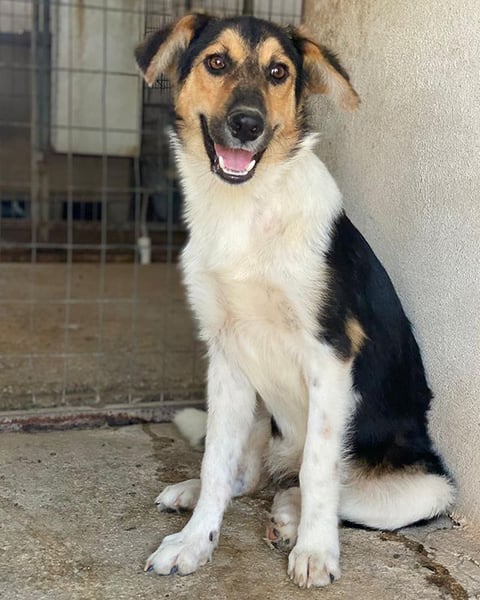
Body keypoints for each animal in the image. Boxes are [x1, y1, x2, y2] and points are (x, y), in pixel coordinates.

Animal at [135, 14, 455, 588]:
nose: (246, 125)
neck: (245, 209)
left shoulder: (330, 354)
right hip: (257, 409)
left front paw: (314, 549)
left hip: (429, 487)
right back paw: (203, 494)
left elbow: (320, 469)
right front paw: (195, 540)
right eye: (216, 61)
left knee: (314, 483)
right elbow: (215, 461)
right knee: (246, 473)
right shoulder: (225, 353)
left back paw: (288, 513)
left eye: (279, 72)